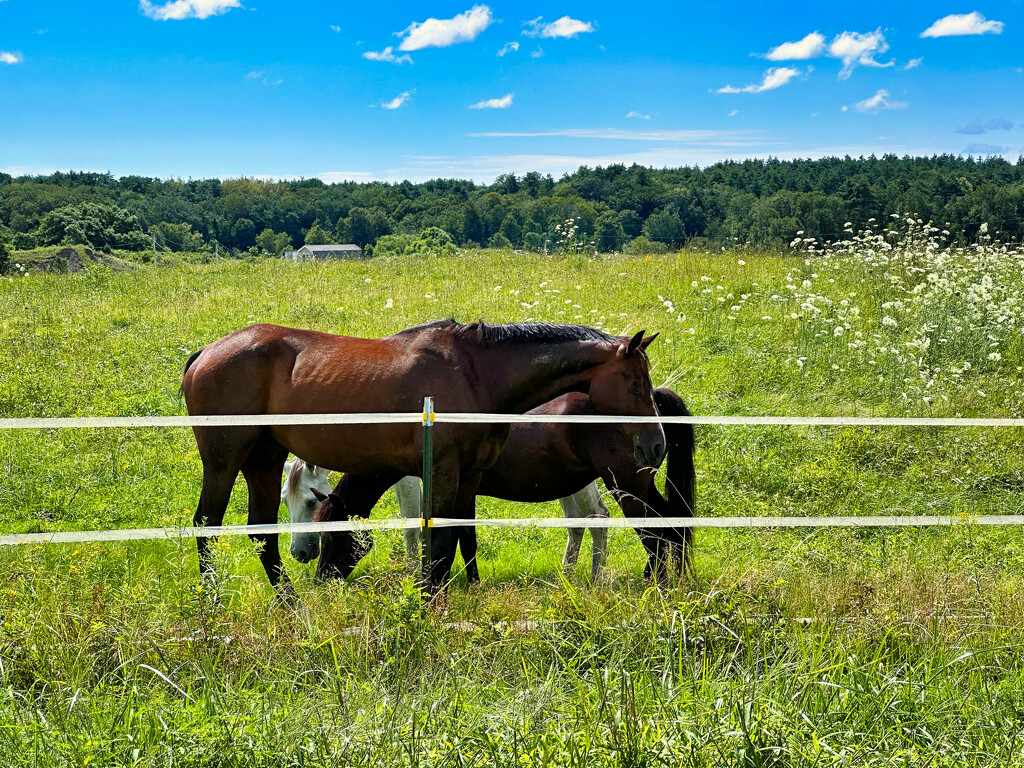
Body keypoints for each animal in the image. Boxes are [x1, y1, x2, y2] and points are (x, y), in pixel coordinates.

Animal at [280, 460, 606, 581]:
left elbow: (415, 527)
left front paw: (415, 573)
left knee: (598, 517)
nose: (299, 553)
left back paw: (595, 581)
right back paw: (567, 575)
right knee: (576, 521)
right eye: (284, 500)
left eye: (311, 502)